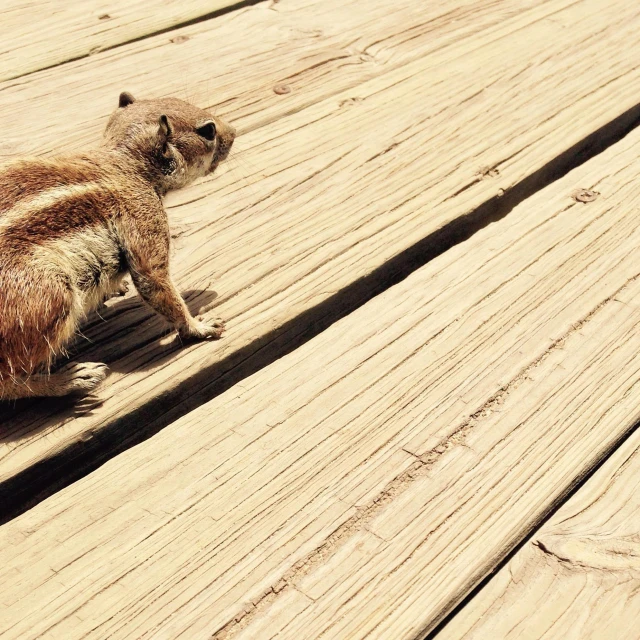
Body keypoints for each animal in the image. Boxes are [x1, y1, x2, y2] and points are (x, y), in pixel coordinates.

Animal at [0, 91, 236, 400]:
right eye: (208, 131)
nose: (234, 133)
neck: (125, 162)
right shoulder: (145, 215)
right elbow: (155, 281)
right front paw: (199, 327)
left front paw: (115, 288)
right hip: (51, 291)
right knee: (8, 382)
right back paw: (71, 379)